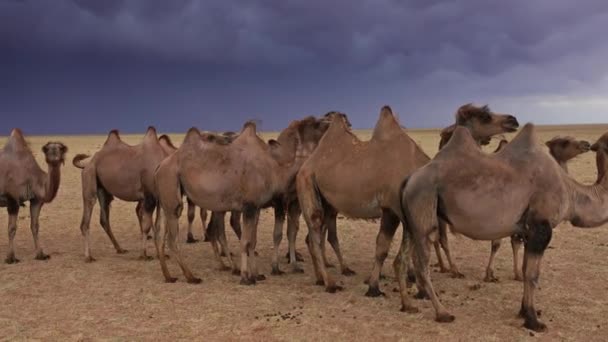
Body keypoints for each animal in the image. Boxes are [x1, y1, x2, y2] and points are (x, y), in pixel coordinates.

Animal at [0, 130, 67, 264]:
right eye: (47, 149)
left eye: (61, 148)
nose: (53, 155)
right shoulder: (12, 200)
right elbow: (11, 228)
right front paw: (10, 258)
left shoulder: (36, 200)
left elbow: (35, 226)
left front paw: (41, 254)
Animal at [74, 125, 169, 262]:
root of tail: (87, 163)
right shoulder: (149, 196)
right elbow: (147, 226)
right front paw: (144, 255)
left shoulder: (159, 199)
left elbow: (158, 226)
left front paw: (161, 255)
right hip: (89, 177)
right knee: (86, 217)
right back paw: (89, 256)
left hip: (103, 190)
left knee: (104, 219)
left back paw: (120, 249)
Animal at [152, 115, 332, 284]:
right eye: (315, 124)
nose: (330, 121)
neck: (275, 168)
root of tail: (160, 166)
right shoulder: (250, 206)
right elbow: (246, 241)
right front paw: (246, 277)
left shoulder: (256, 207)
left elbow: (252, 241)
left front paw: (257, 274)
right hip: (171, 190)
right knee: (173, 239)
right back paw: (192, 277)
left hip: (167, 199)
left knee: (161, 236)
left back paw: (169, 276)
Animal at [396, 125, 608, 332]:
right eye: (564, 142)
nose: (587, 144)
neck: (572, 193)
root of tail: (408, 179)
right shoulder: (541, 227)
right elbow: (532, 275)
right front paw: (533, 320)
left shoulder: (527, 231)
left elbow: (525, 269)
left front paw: (523, 311)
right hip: (423, 206)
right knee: (423, 264)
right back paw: (443, 312)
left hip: (411, 221)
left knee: (402, 258)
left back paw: (408, 305)